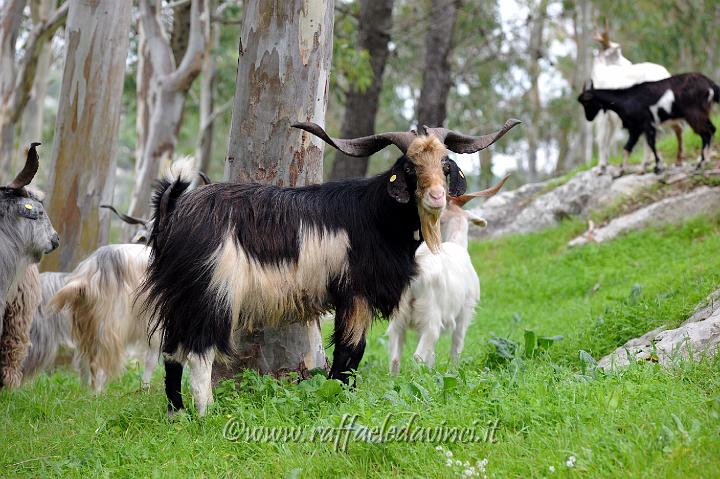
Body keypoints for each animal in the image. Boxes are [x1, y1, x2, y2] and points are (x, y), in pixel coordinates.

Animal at [386, 176, 510, 376]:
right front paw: (454, 372)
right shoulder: (466, 310)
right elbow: (456, 346)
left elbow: (432, 354)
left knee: (395, 358)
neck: (456, 243)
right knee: (418, 356)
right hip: (431, 318)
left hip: (398, 318)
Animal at [580, 71, 720, 176]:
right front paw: (620, 172)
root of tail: (710, 84)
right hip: (702, 114)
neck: (626, 100)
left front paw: (658, 167)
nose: (588, 118)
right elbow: (627, 147)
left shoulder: (646, 124)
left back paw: (701, 163)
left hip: (694, 114)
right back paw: (705, 160)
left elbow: (651, 144)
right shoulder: (636, 128)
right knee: (712, 129)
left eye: (586, 102)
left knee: (706, 133)